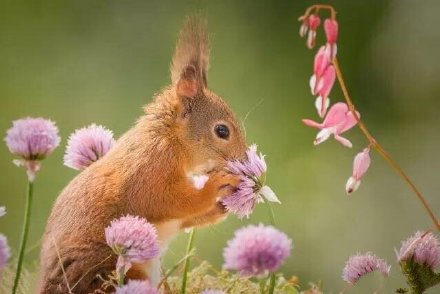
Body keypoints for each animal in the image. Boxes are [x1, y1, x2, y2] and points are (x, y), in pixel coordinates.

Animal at [38, 16, 248, 294]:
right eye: (222, 130)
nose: (244, 160)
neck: (170, 140)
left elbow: (186, 217)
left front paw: (220, 206)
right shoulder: (149, 170)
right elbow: (169, 200)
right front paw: (216, 187)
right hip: (115, 269)